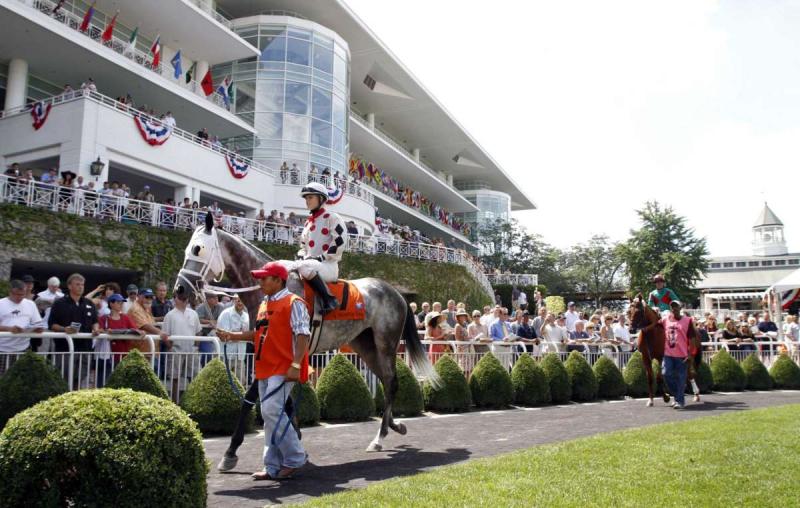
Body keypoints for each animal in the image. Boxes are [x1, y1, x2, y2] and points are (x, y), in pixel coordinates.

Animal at [173, 213, 444, 468]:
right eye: (186, 250)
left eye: (198, 249)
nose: (179, 290)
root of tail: (396, 292)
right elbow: (284, 400)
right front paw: (294, 438)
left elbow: (253, 397)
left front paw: (231, 452)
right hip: (364, 345)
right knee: (386, 381)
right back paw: (394, 426)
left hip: (386, 343)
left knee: (392, 381)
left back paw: (380, 437)